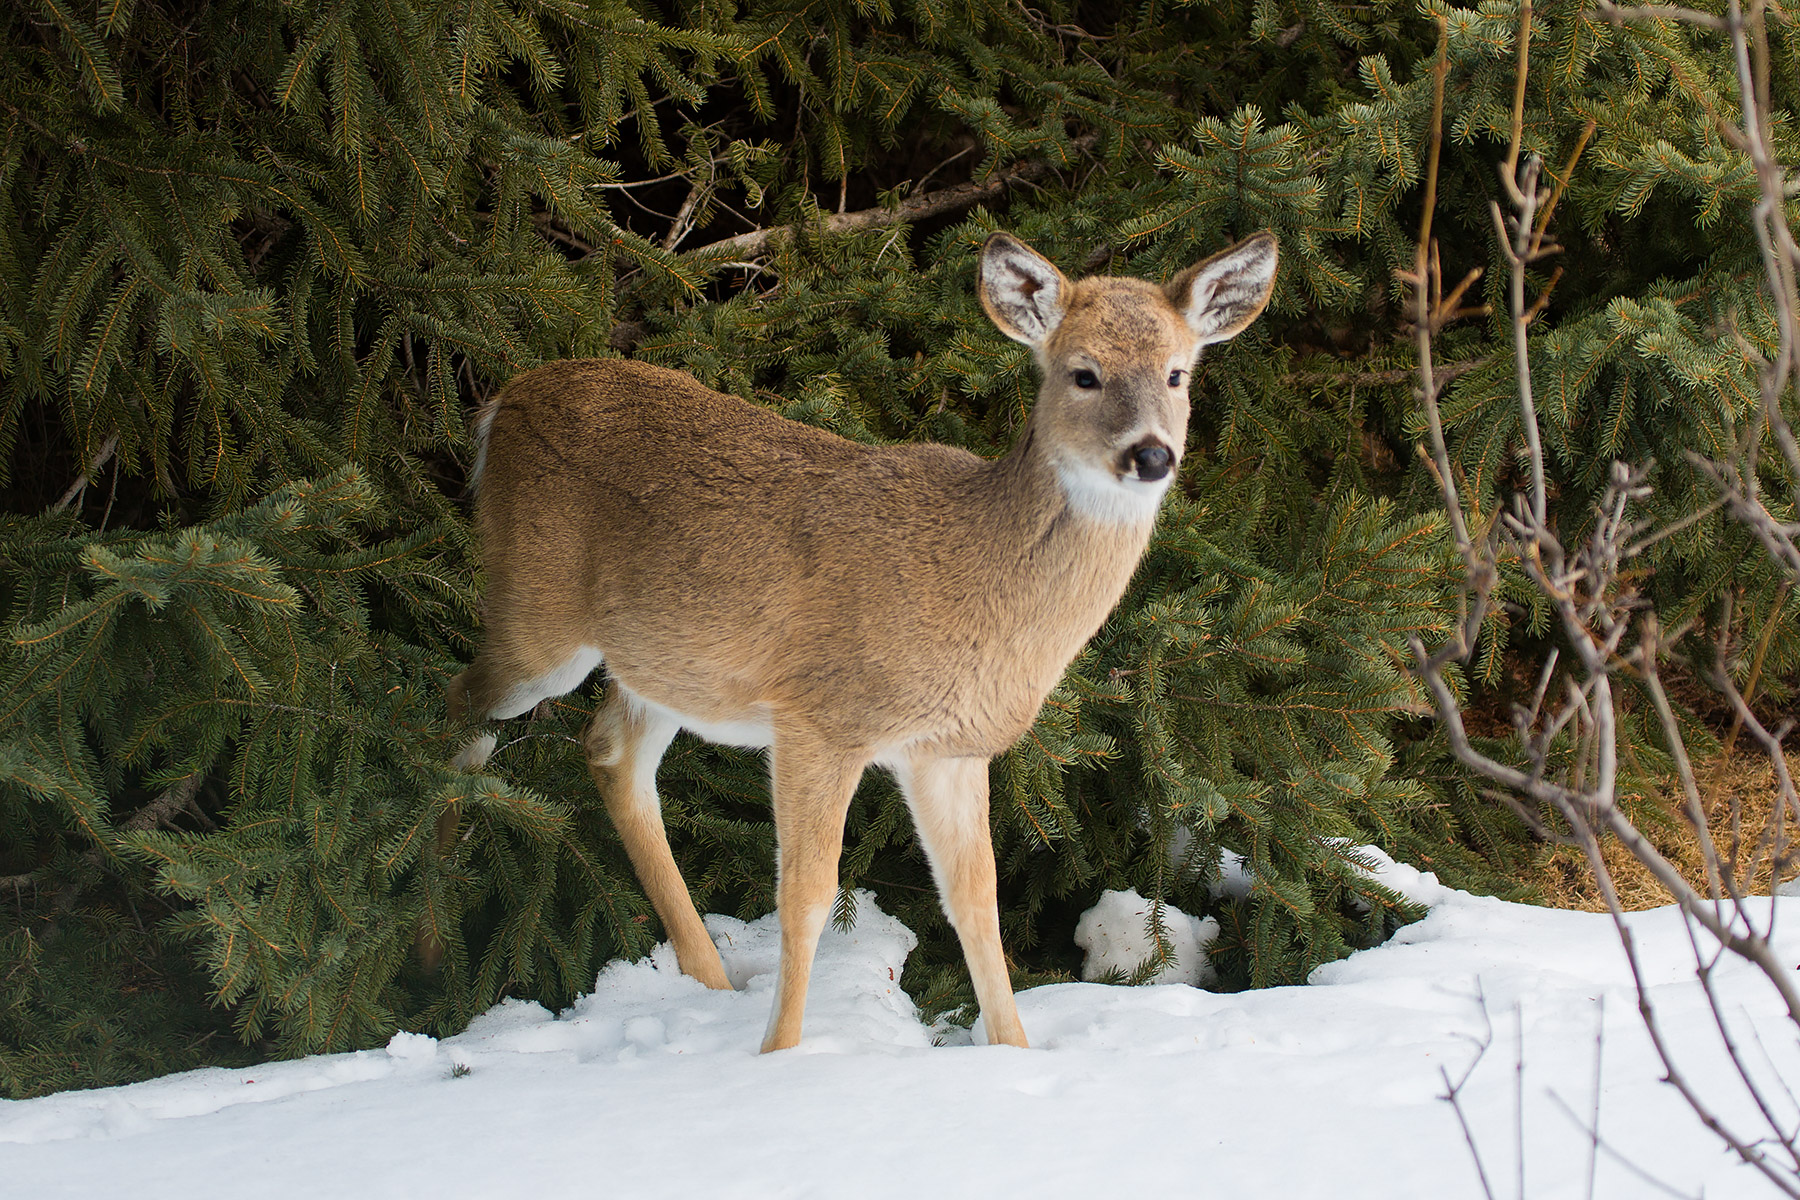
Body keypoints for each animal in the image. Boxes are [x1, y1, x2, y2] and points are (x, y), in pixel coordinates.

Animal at [435, 229, 1278, 1052]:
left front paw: (1013, 1054)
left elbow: (976, 903)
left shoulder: (949, 751)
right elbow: (807, 897)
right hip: (537, 616)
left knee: (611, 752)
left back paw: (706, 983)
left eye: (1178, 373)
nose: (1151, 454)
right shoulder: (821, 719)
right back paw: (435, 929)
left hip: (665, 661)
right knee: (460, 705)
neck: (980, 580)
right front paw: (781, 1055)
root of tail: (503, 401)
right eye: (1084, 374)